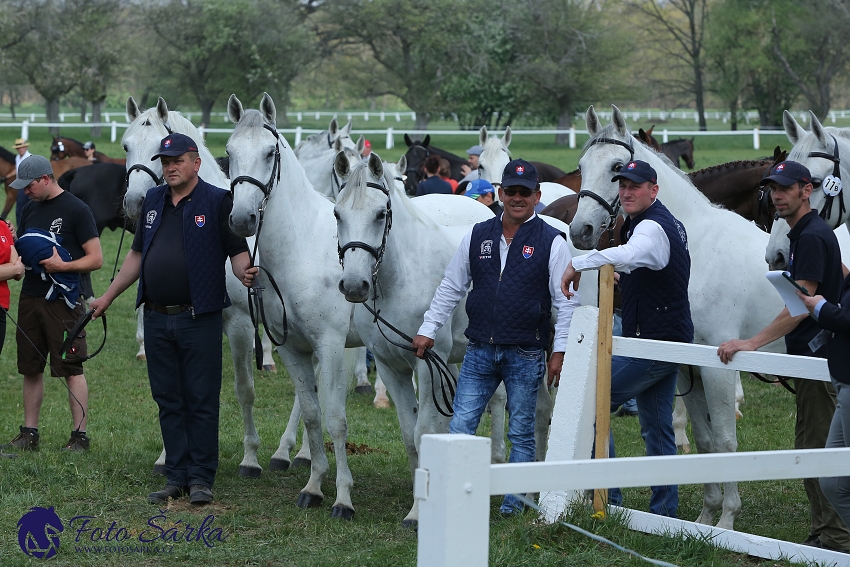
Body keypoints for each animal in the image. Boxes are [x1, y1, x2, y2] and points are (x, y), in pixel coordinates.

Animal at [227, 92, 362, 520]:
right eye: (229, 152)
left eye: (270, 152)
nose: (241, 219)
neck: (300, 247)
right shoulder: (291, 345)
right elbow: (313, 411)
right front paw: (314, 485)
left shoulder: (331, 344)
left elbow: (336, 418)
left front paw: (343, 498)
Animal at [568, 104, 784, 532]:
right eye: (582, 166)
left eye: (618, 167)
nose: (580, 230)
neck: (695, 245)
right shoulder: (688, 366)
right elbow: (705, 440)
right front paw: (706, 516)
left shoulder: (718, 365)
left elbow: (727, 441)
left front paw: (727, 521)